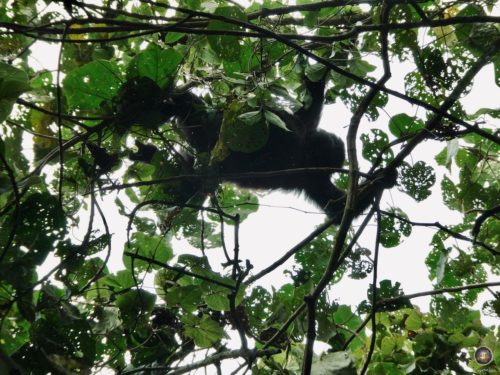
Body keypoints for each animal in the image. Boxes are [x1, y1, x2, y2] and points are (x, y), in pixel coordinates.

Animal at [162, 76, 392, 223]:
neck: (305, 153)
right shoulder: (301, 129)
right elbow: (310, 100)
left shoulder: (313, 178)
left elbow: (339, 207)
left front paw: (383, 177)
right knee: (195, 106)